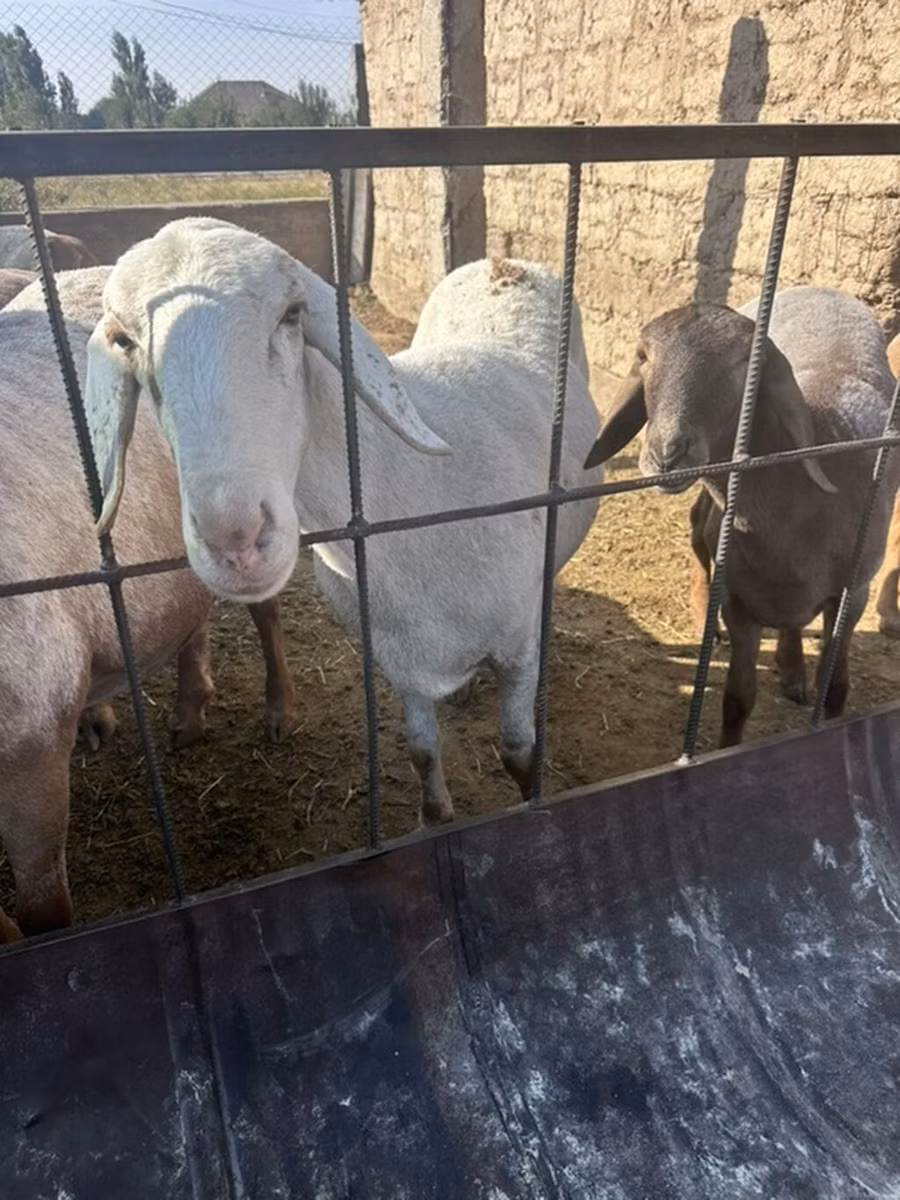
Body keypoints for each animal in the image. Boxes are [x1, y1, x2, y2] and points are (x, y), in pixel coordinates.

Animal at [0, 267, 296, 941]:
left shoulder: (31, 727)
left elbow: (45, 913)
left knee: (264, 610)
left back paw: (276, 713)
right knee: (189, 614)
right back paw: (170, 718)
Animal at [83, 219, 600, 826]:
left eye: (291, 314)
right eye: (125, 341)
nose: (236, 540)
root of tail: (504, 262)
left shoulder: (516, 647)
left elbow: (519, 751)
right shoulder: (397, 657)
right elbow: (422, 751)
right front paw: (434, 816)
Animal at [584, 286, 900, 747]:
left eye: (745, 364)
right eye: (644, 355)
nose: (667, 455)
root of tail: (819, 289)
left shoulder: (852, 592)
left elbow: (836, 689)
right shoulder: (738, 602)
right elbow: (737, 699)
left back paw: (792, 671)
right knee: (698, 527)